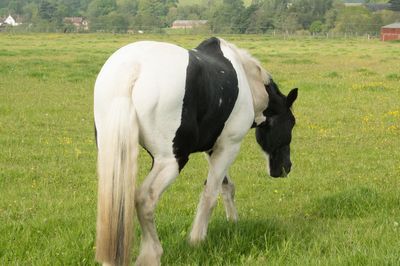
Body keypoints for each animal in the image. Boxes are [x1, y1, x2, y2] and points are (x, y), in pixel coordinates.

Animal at [94, 37, 296, 266]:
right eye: (291, 123)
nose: (286, 167)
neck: (247, 82)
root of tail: (133, 68)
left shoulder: (214, 148)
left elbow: (226, 187)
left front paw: (232, 222)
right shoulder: (229, 147)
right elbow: (210, 194)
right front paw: (197, 240)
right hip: (171, 161)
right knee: (145, 199)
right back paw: (151, 254)